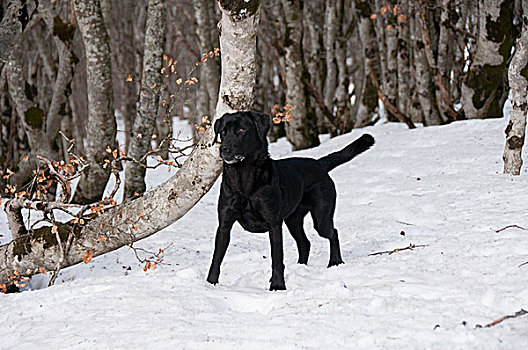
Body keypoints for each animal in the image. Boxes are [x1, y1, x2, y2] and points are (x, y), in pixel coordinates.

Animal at [206, 110, 376, 290]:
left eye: (241, 130)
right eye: (223, 132)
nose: (224, 149)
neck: (243, 182)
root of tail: (319, 164)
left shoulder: (274, 225)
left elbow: (277, 259)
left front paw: (277, 286)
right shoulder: (224, 225)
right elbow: (216, 258)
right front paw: (210, 283)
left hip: (321, 217)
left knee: (332, 233)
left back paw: (335, 262)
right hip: (293, 220)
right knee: (305, 243)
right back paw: (301, 267)